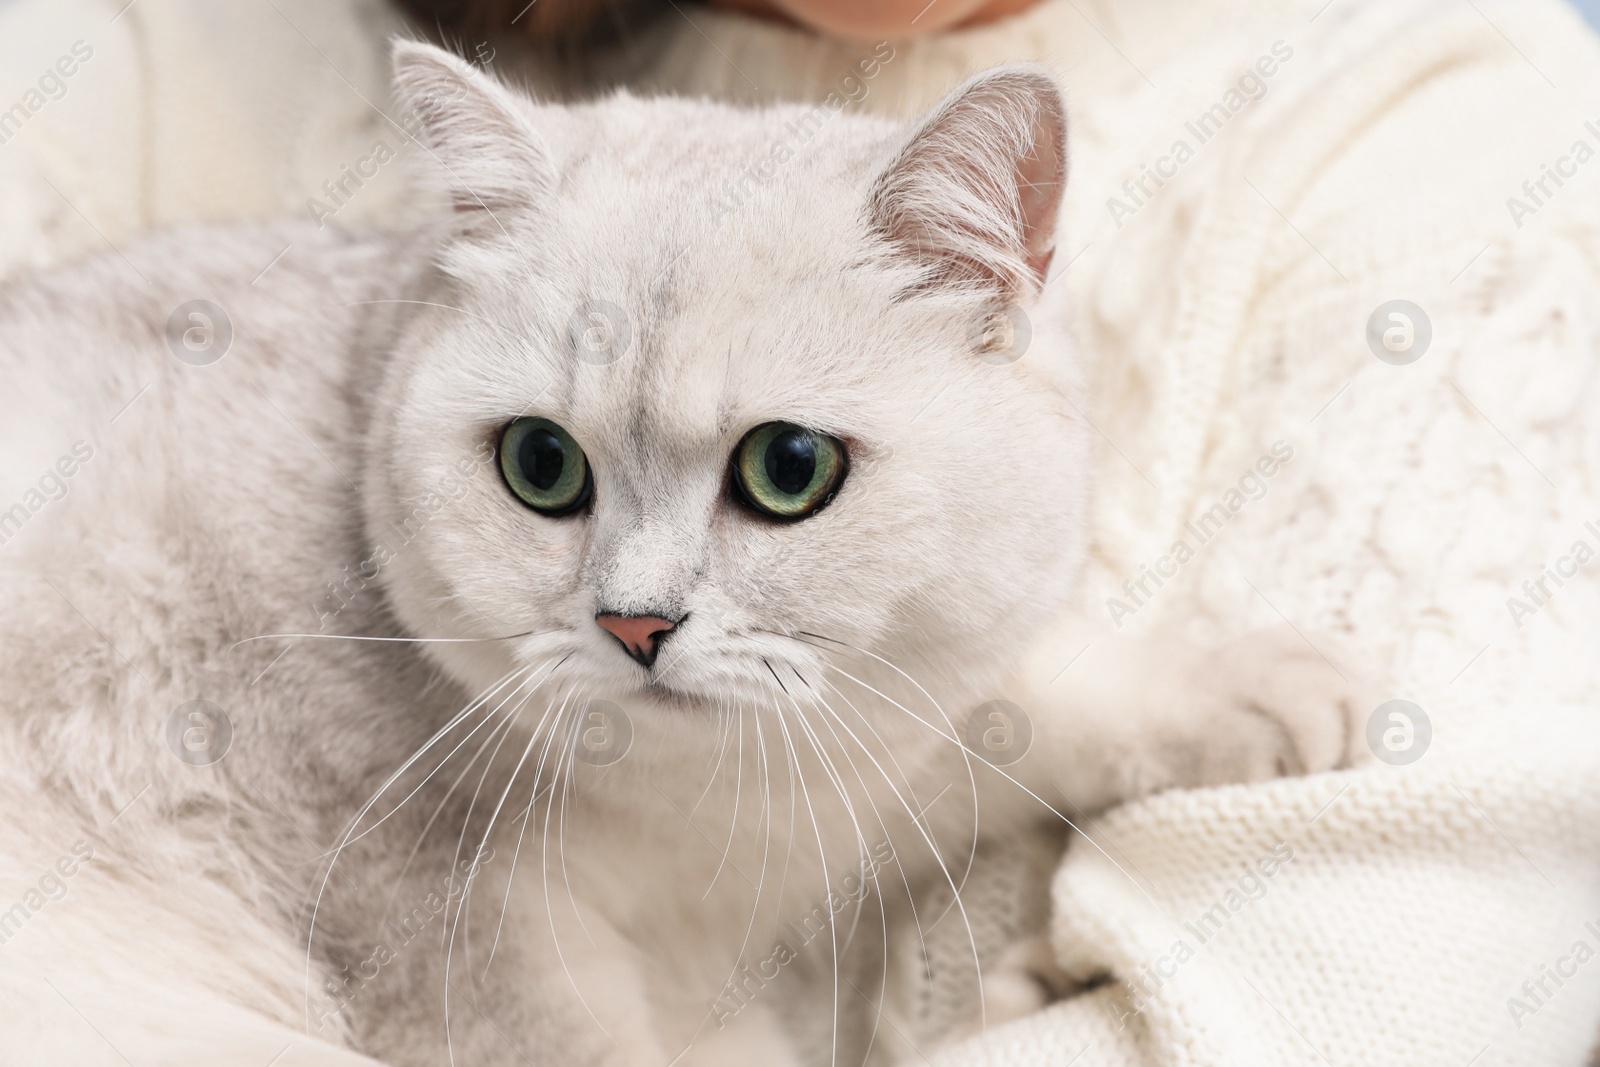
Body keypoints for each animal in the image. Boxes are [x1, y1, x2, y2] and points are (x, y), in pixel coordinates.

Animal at [0, 41, 1363, 1067]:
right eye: (540, 464)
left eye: (789, 468)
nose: (634, 623)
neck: (715, 811)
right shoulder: (464, 948)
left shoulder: (870, 752)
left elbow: (1034, 707)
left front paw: (1262, 688)